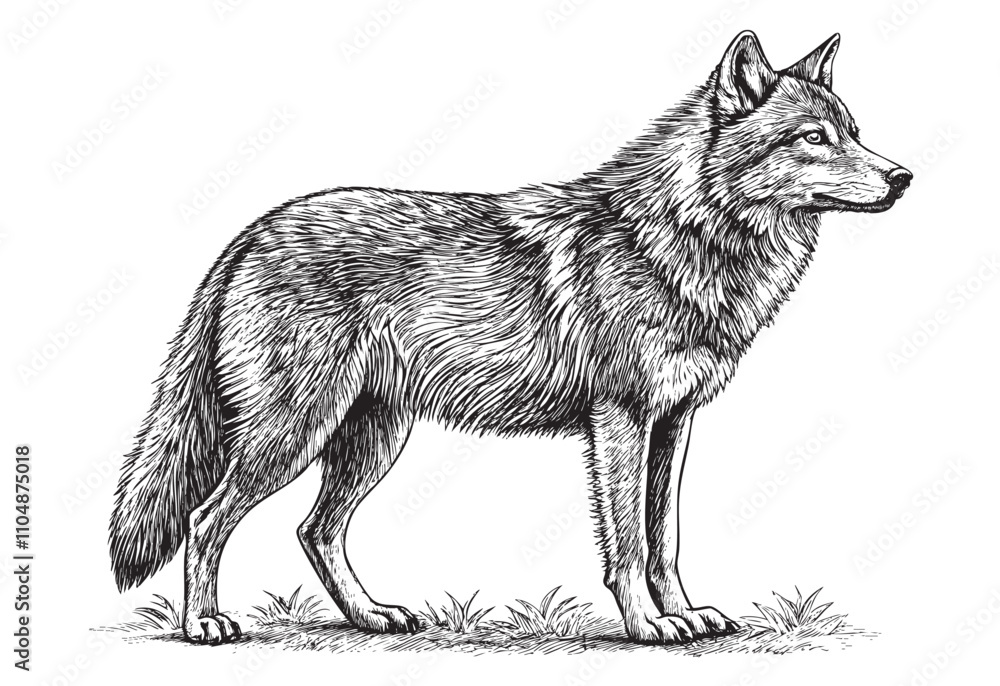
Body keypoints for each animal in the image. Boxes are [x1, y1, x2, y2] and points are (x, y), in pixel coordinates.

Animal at [110, 31, 911, 645]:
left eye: (855, 133)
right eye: (813, 139)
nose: (903, 176)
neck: (686, 239)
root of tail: (249, 232)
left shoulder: (675, 424)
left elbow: (665, 541)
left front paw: (685, 614)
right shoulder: (622, 423)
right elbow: (628, 543)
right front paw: (648, 627)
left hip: (371, 440)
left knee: (315, 530)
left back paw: (372, 615)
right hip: (291, 437)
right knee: (206, 519)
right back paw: (204, 624)